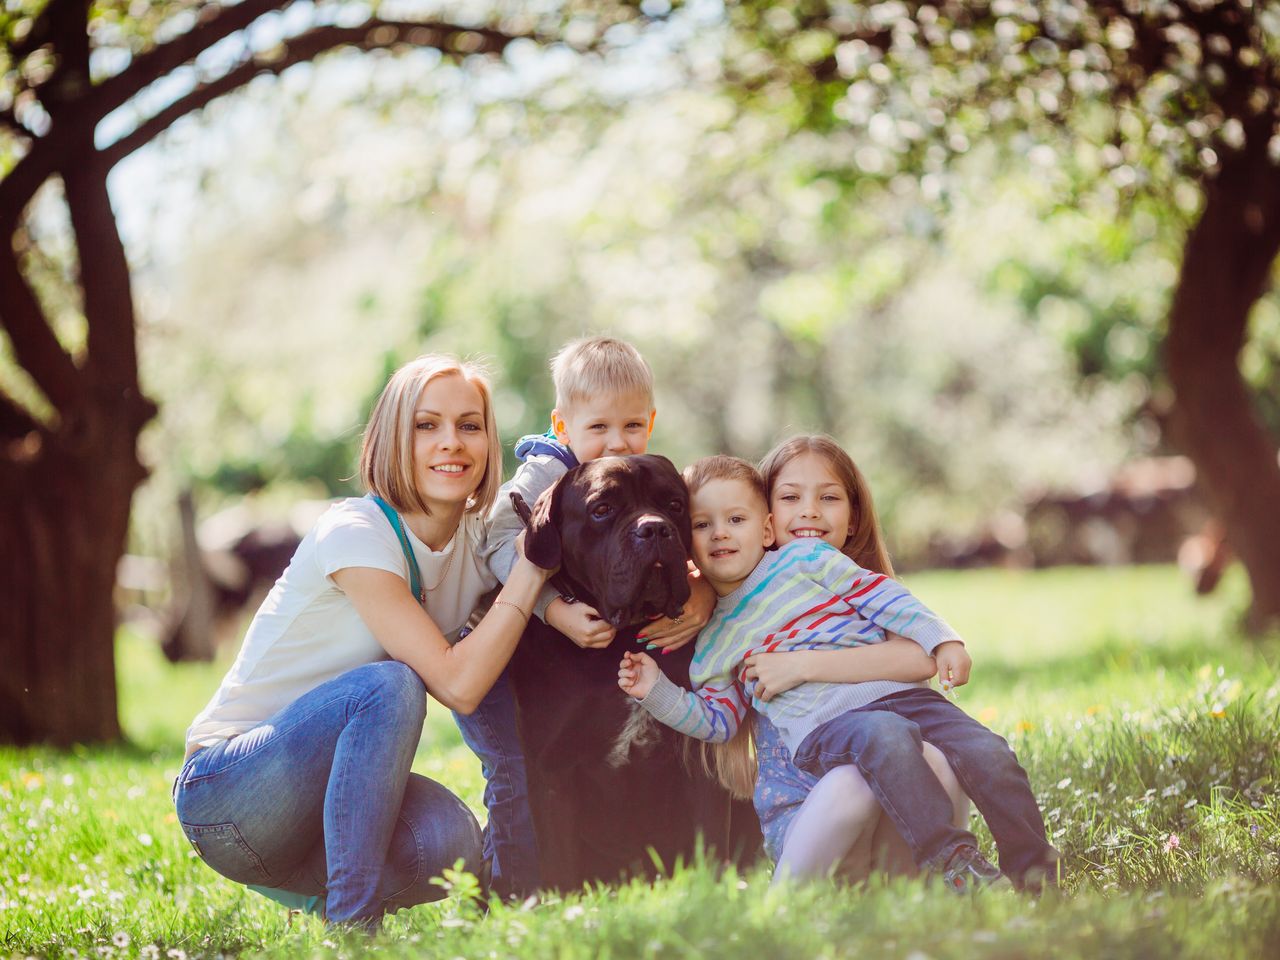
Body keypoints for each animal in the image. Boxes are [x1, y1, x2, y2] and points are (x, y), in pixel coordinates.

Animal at [504, 455, 752, 890]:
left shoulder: (699, 756)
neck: (622, 640)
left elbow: (708, 839)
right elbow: (559, 864)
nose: (654, 528)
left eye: (674, 505)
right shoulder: (551, 770)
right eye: (602, 509)